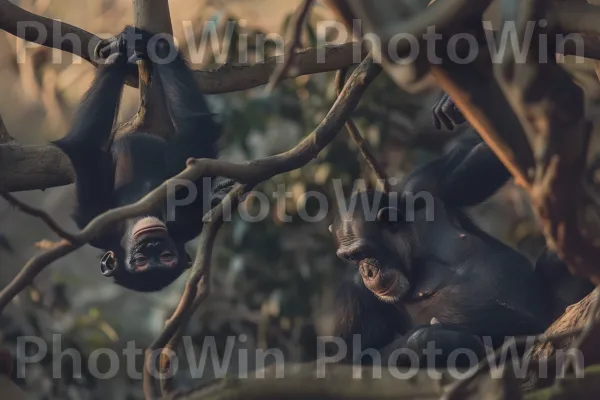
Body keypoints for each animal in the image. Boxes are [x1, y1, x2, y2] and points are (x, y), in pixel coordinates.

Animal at [52, 27, 230, 290]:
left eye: (165, 257)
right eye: (141, 260)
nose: (151, 243)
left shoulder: (185, 222)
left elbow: (197, 130)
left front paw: (152, 46)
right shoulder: (96, 225)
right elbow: (84, 145)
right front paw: (119, 53)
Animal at [330, 94, 592, 366]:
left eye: (363, 252)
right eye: (351, 258)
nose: (367, 270)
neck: (411, 250)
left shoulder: (427, 186)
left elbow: (487, 154)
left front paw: (453, 104)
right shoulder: (353, 297)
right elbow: (355, 359)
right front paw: (433, 339)